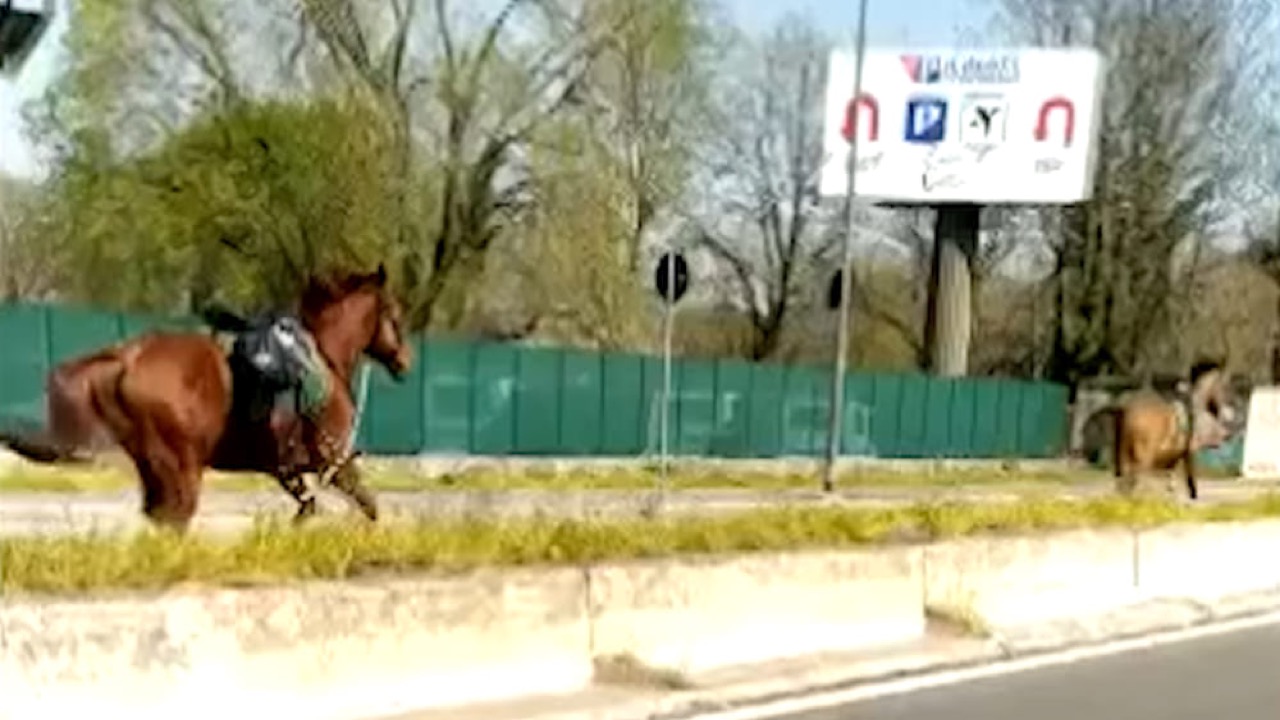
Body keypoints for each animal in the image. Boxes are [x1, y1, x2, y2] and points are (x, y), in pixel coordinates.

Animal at [0, 264, 412, 533]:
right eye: (394, 313)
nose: (405, 361)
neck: (323, 358)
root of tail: (128, 355)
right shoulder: (334, 463)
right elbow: (369, 506)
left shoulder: (289, 470)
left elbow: (312, 507)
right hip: (180, 464)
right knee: (175, 516)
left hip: (154, 464)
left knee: (160, 517)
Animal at [1108, 359, 1238, 501]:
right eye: (1225, 387)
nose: (1230, 409)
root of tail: (1127, 408)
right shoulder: (1188, 452)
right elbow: (1188, 476)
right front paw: (1189, 495)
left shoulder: (1176, 454)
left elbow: (1172, 475)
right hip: (1143, 453)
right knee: (1137, 475)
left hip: (1124, 450)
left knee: (1126, 477)